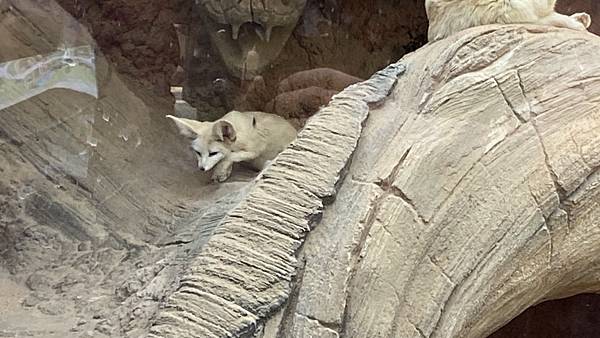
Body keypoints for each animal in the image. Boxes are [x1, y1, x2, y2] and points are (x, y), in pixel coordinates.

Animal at [166, 111, 298, 182]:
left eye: (213, 153)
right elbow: (230, 156)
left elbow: (229, 156)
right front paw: (225, 172)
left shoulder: (254, 150)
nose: (202, 168)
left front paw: (220, 172)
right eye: (198, 153)